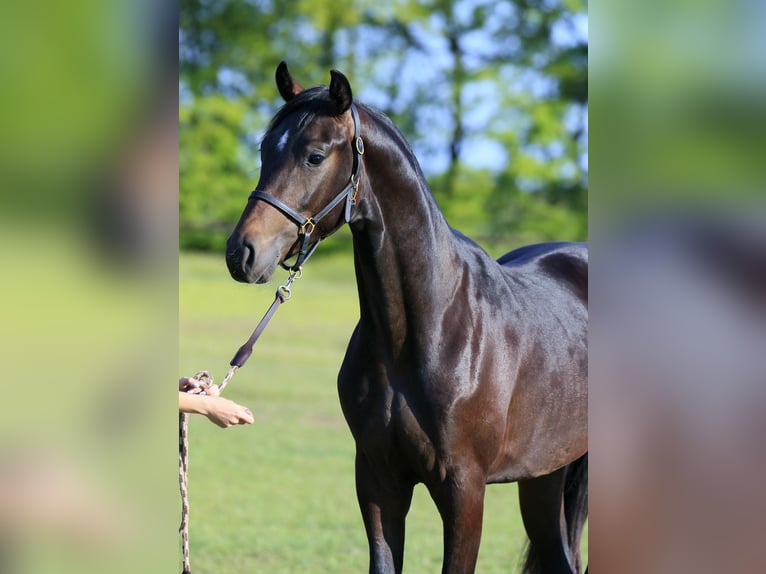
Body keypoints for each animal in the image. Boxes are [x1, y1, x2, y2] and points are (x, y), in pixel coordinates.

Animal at [225, 63, 592, 574]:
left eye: (314, 156)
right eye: (264, 150)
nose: (241, 254)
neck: (427, 330)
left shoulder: (464, 491)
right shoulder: (378, 480)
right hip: (544, 476)